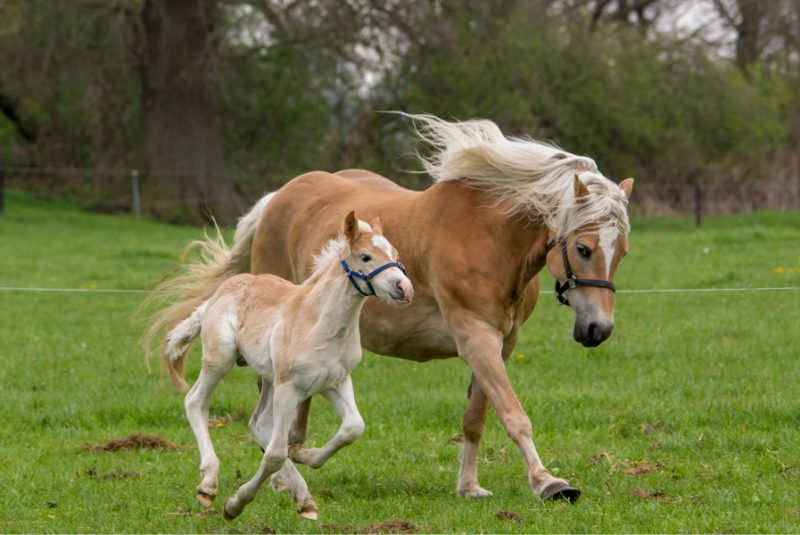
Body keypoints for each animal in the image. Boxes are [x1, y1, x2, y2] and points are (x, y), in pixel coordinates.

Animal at [162, 212, 412, 520]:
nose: (404, 288)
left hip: (270, 378)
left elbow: (353, 428)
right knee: (196, 401)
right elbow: (274, 454)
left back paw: (303, 497)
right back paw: (208, 483)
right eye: (365, 256)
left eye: (395, 254)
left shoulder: (335, 382)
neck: (321, 323)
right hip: (221, 360)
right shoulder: (290, 387)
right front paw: (235, 505)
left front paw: (303, 456)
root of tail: (220, 292)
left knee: (258, 422)